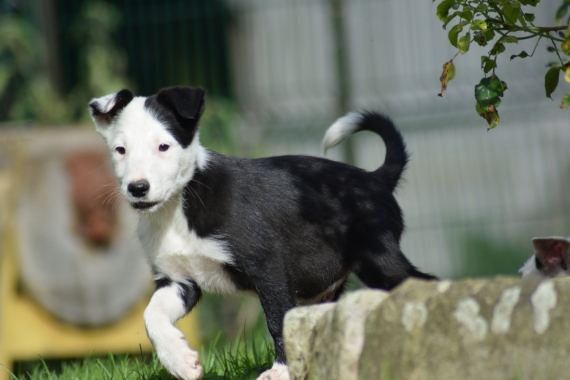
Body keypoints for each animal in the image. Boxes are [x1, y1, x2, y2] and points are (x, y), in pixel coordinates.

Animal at [87, 87, 434, 380]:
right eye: (120, 150)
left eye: (164, 146)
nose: (138, 188)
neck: (179, 206)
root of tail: (375, 179)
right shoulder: (178, 280)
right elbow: (152, 316)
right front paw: (180, 361)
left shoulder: (267, 266)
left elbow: (277, 319)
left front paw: (281, 371)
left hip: (378, 260)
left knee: (422, 283)